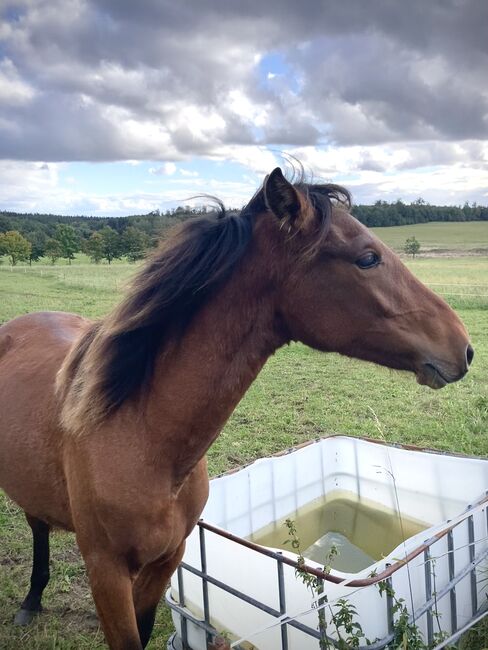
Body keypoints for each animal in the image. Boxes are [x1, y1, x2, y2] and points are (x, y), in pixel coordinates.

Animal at [0, 168, 472, 648]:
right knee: (37, 526)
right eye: (368, 258)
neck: (142, 436)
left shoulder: (166, 559)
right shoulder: (106, 571)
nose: (464, 347)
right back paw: (30, 601)